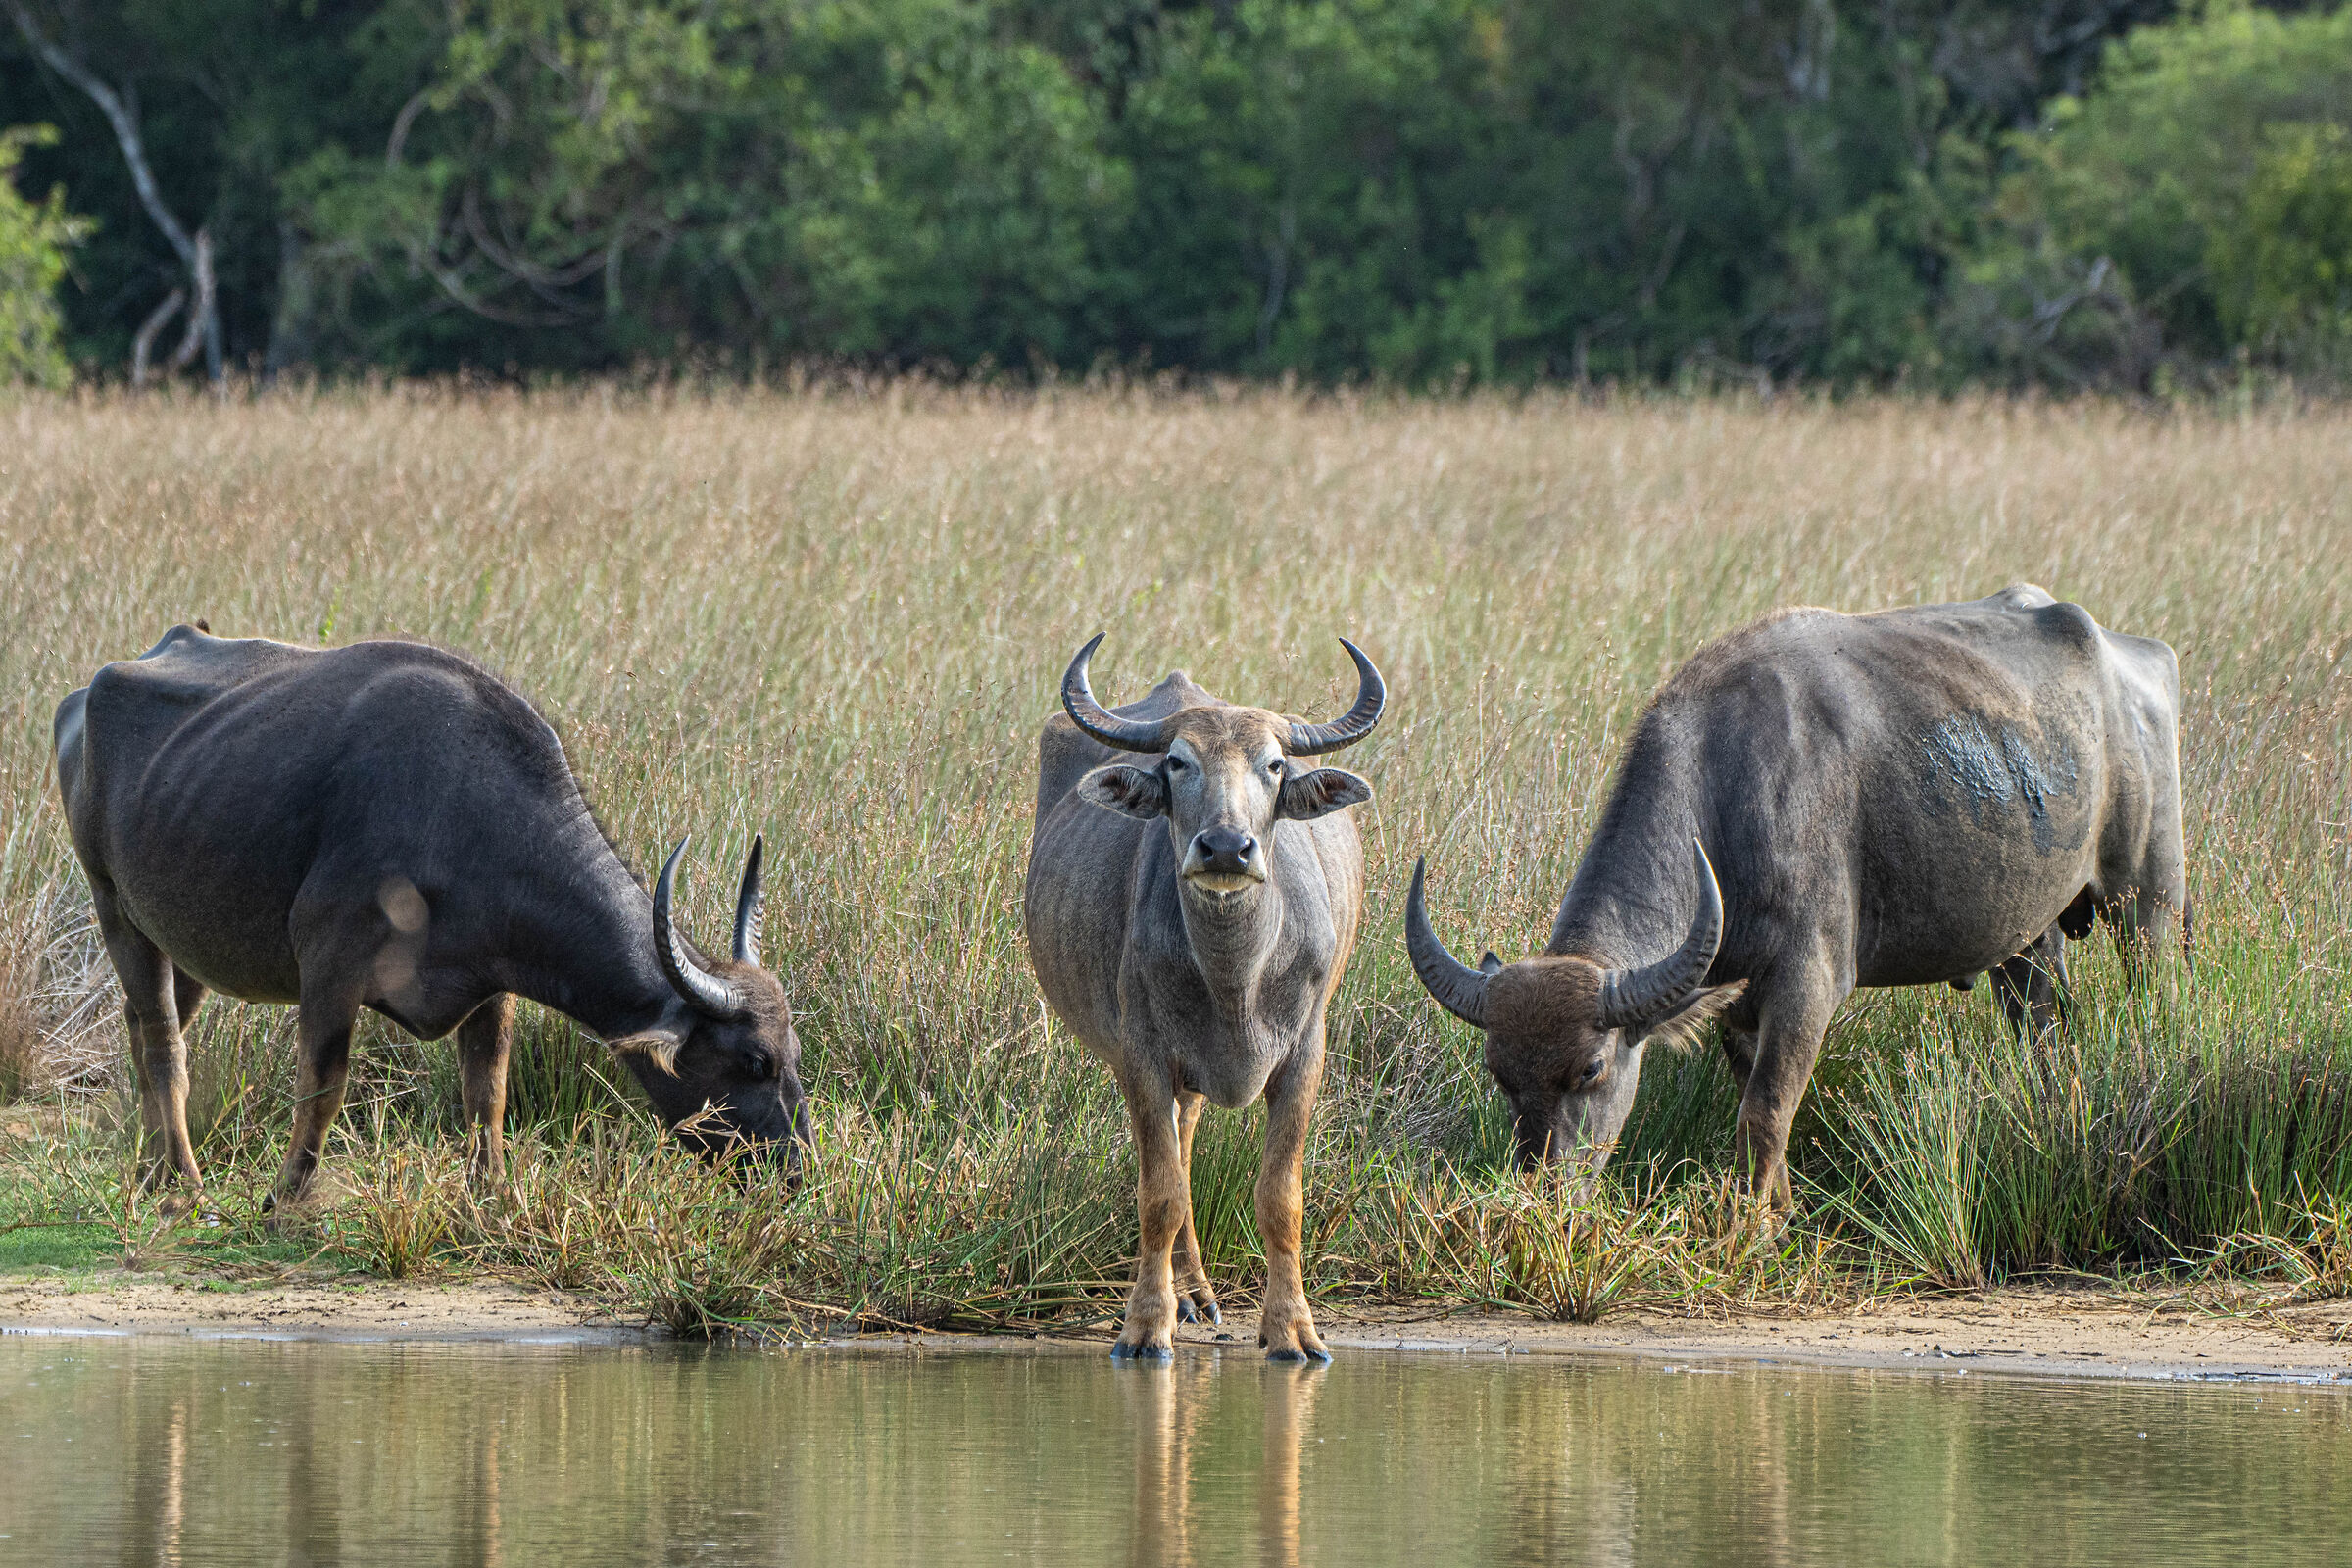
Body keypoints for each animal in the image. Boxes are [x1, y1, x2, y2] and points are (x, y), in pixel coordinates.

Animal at [54, 625, 810, 1213]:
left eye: (795, 1051)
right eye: (754, 1061)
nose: (798, 1170)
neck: (470, 819)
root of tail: (83, 698)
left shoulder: (493, 986)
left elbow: (488, 1093)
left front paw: (494, 1195)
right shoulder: (329, 969)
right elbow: (323, 1085)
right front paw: (285, 1198)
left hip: (180, 942)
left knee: (143, 1031)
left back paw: (149, 1172)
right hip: (113, 908)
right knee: (163, 1046)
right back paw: (184, 1186)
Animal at [1406, 585, 2187, 1207]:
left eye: (1591, 1069)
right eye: (1498, 1073)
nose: (1541, 1189)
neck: (1726, 794)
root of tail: (2134, 656)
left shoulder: (1808, 982)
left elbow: (1766, 1112)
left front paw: (1746, 1229)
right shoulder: (1733, 1004)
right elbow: (1761, 1108)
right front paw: (1778, 1214)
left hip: (2147, 897)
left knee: (2152, 987)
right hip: (2027, 941)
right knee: (2045, 1031)